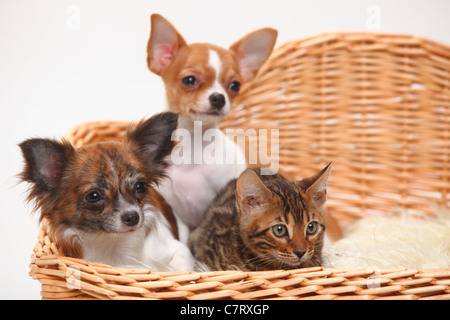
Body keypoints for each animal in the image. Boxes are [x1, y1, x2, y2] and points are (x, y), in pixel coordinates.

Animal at [19, 112, 195, 270]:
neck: (114, 243)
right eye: (93, 196)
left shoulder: (179, 249)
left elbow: (180, 267)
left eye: (140, 186)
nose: (133, 217)